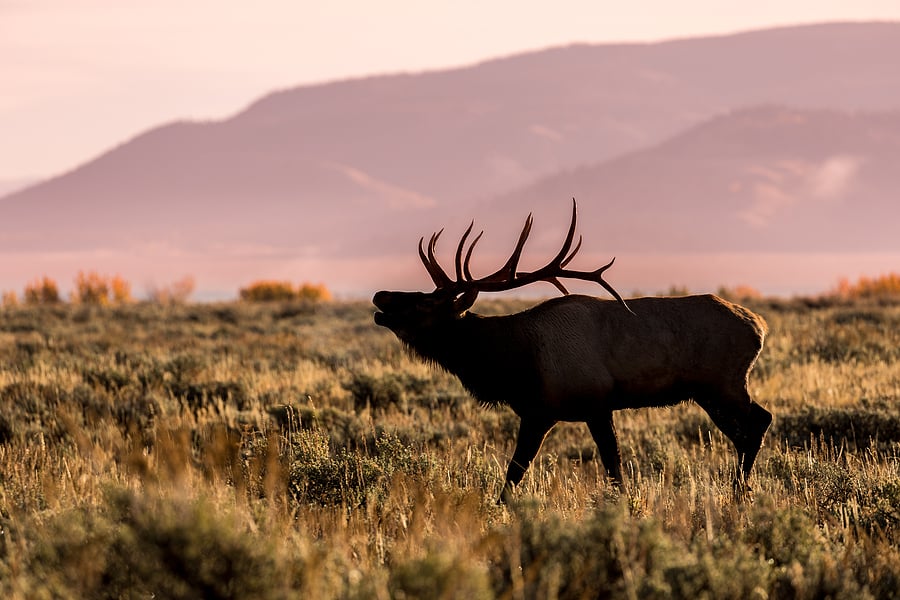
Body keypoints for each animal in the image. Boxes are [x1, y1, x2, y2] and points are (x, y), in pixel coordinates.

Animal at [373, 200, 771, 504]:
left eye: (428, 302)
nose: (380, 297)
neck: (514, 361)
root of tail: (759, 327)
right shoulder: (541, 412)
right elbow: (517, 474)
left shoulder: (588, 404)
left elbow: (606, 468)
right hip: (709, 392)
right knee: (746, 430)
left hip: (722, 383)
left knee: (758, 422)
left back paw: (740, 493)